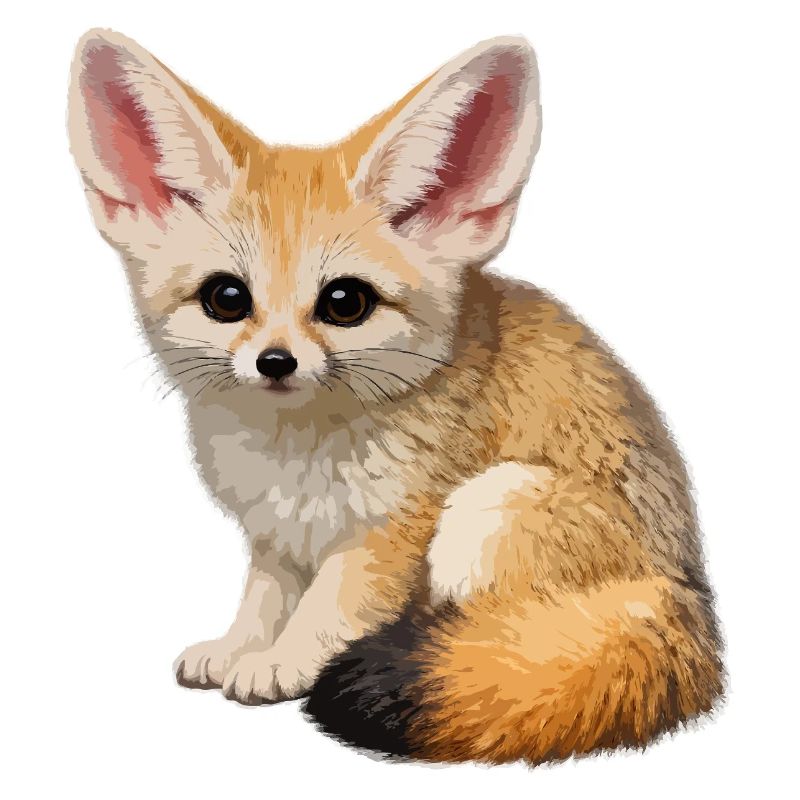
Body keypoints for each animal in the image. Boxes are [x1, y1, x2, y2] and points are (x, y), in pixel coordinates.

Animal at [68, 28, 723, 765]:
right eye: (226, 298)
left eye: (344, 302)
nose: (275, 362)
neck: (294, 453)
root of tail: (687, 594)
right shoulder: (276, 536)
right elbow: (264, 599)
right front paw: (239, 646)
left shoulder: (390, 533)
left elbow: (329, 609)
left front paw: (283, 661)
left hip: (488, 507)